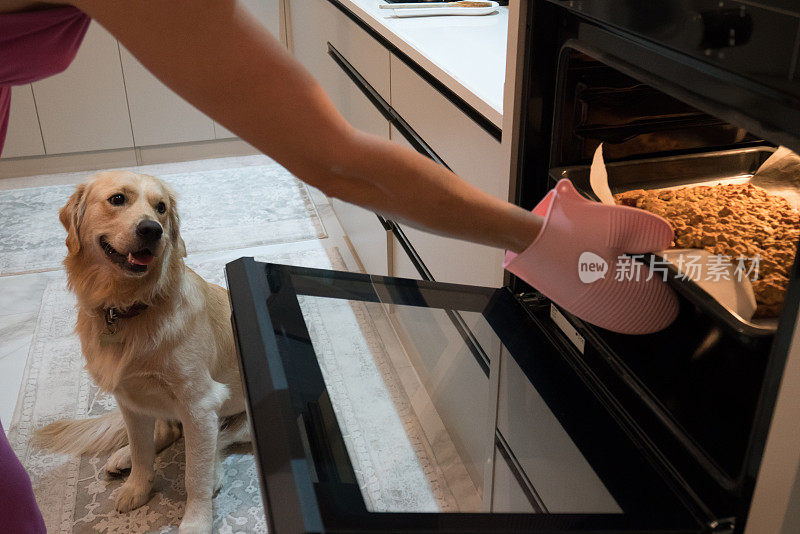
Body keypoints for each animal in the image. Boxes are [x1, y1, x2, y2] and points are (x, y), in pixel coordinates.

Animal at [34, 173, 248, 534]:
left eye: (161, 207)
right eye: (117, 199)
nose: (152, 230)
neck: (128, 307)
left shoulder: (200, 404)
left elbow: (194, 474)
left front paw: (196, 520)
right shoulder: (129, 399)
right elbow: (141, 451)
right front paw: (137, 487)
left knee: (217, 442)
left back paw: (215, 472)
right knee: (166, 432)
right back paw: (123, 457)